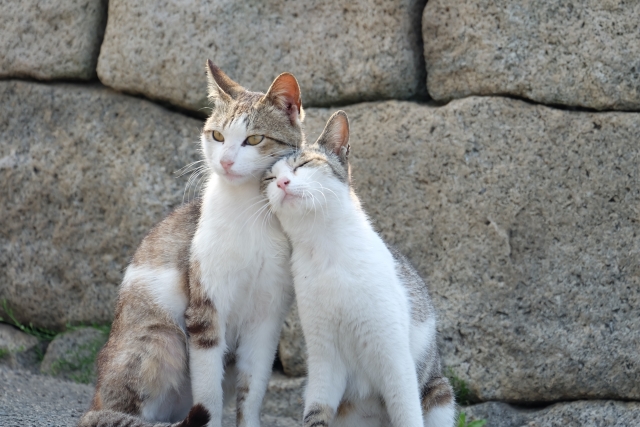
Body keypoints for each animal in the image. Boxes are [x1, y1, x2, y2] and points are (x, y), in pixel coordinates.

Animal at [79, 60, 306, 427]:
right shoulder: (205, 310)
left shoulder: (267, 318)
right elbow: (208, 391)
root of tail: (94, 400)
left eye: (255, 139)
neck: (247, 211)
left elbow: (252, 390)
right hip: (162, 338)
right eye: (217, 136)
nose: (225, 161)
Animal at [260, 111, 456, 427]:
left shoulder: (394, 356)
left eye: (303, 164)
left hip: (439, 392)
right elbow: (316, 413)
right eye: (269, 178)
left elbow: (407, 413)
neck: (325, 250)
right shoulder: (323, 360)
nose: (282, 183)